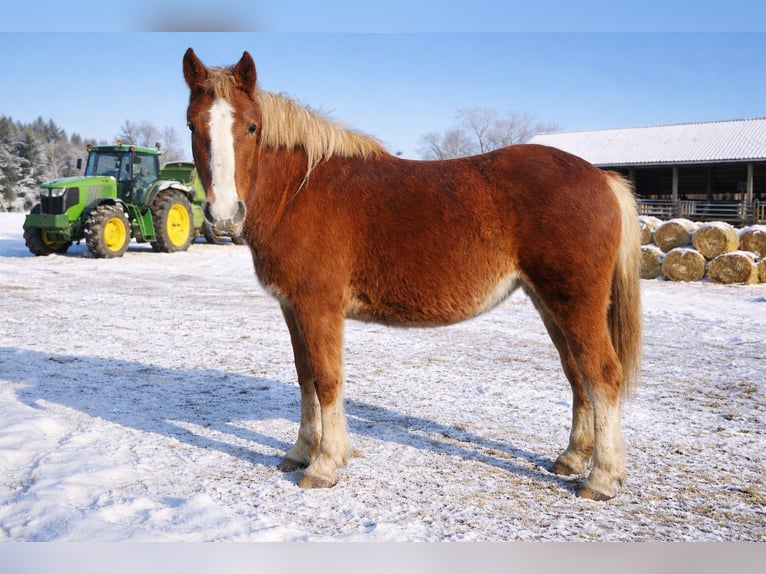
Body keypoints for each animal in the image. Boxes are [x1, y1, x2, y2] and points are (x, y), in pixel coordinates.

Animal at [182, 48, 642, 501]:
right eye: (192, 124)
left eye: (252, 127)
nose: (224, 214)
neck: (299, 190)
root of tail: (602, 177)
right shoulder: (293, 309)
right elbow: (306, 377)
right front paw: (300, 452)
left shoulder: (318, 306)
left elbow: (328, 380)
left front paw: (325, 465)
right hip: (548, 303)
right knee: (577, 373)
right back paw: (572, 459)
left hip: (575, 303)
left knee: (603, 374)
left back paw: (601, 478)